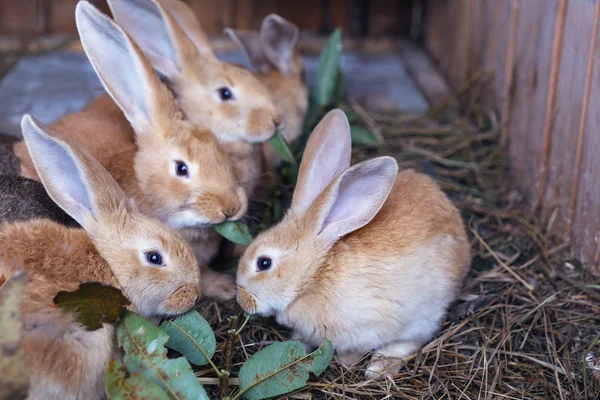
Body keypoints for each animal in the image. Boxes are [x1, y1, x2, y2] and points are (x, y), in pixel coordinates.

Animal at [234, 109, 474, 378]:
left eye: (264, 263)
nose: (241, 300)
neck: (314, 274)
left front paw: (346, 361)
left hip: (425, 312)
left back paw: (378, 368)